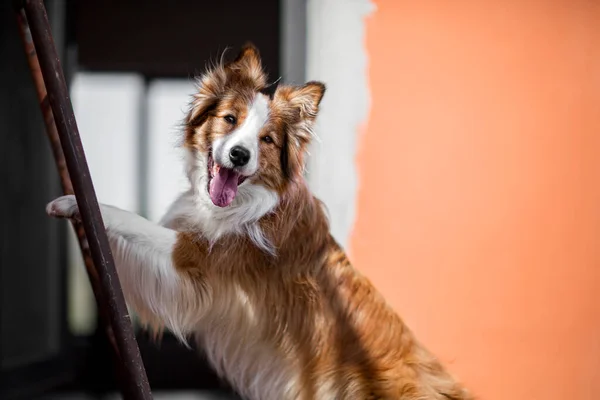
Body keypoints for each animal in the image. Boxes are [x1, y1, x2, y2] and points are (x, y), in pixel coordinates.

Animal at [47, 44, 472, 400]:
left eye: (266, 140)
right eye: (229, 119)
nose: (239, 154)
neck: (247, 201)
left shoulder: (197, 261)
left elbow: (129, 219)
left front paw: (75, 202)